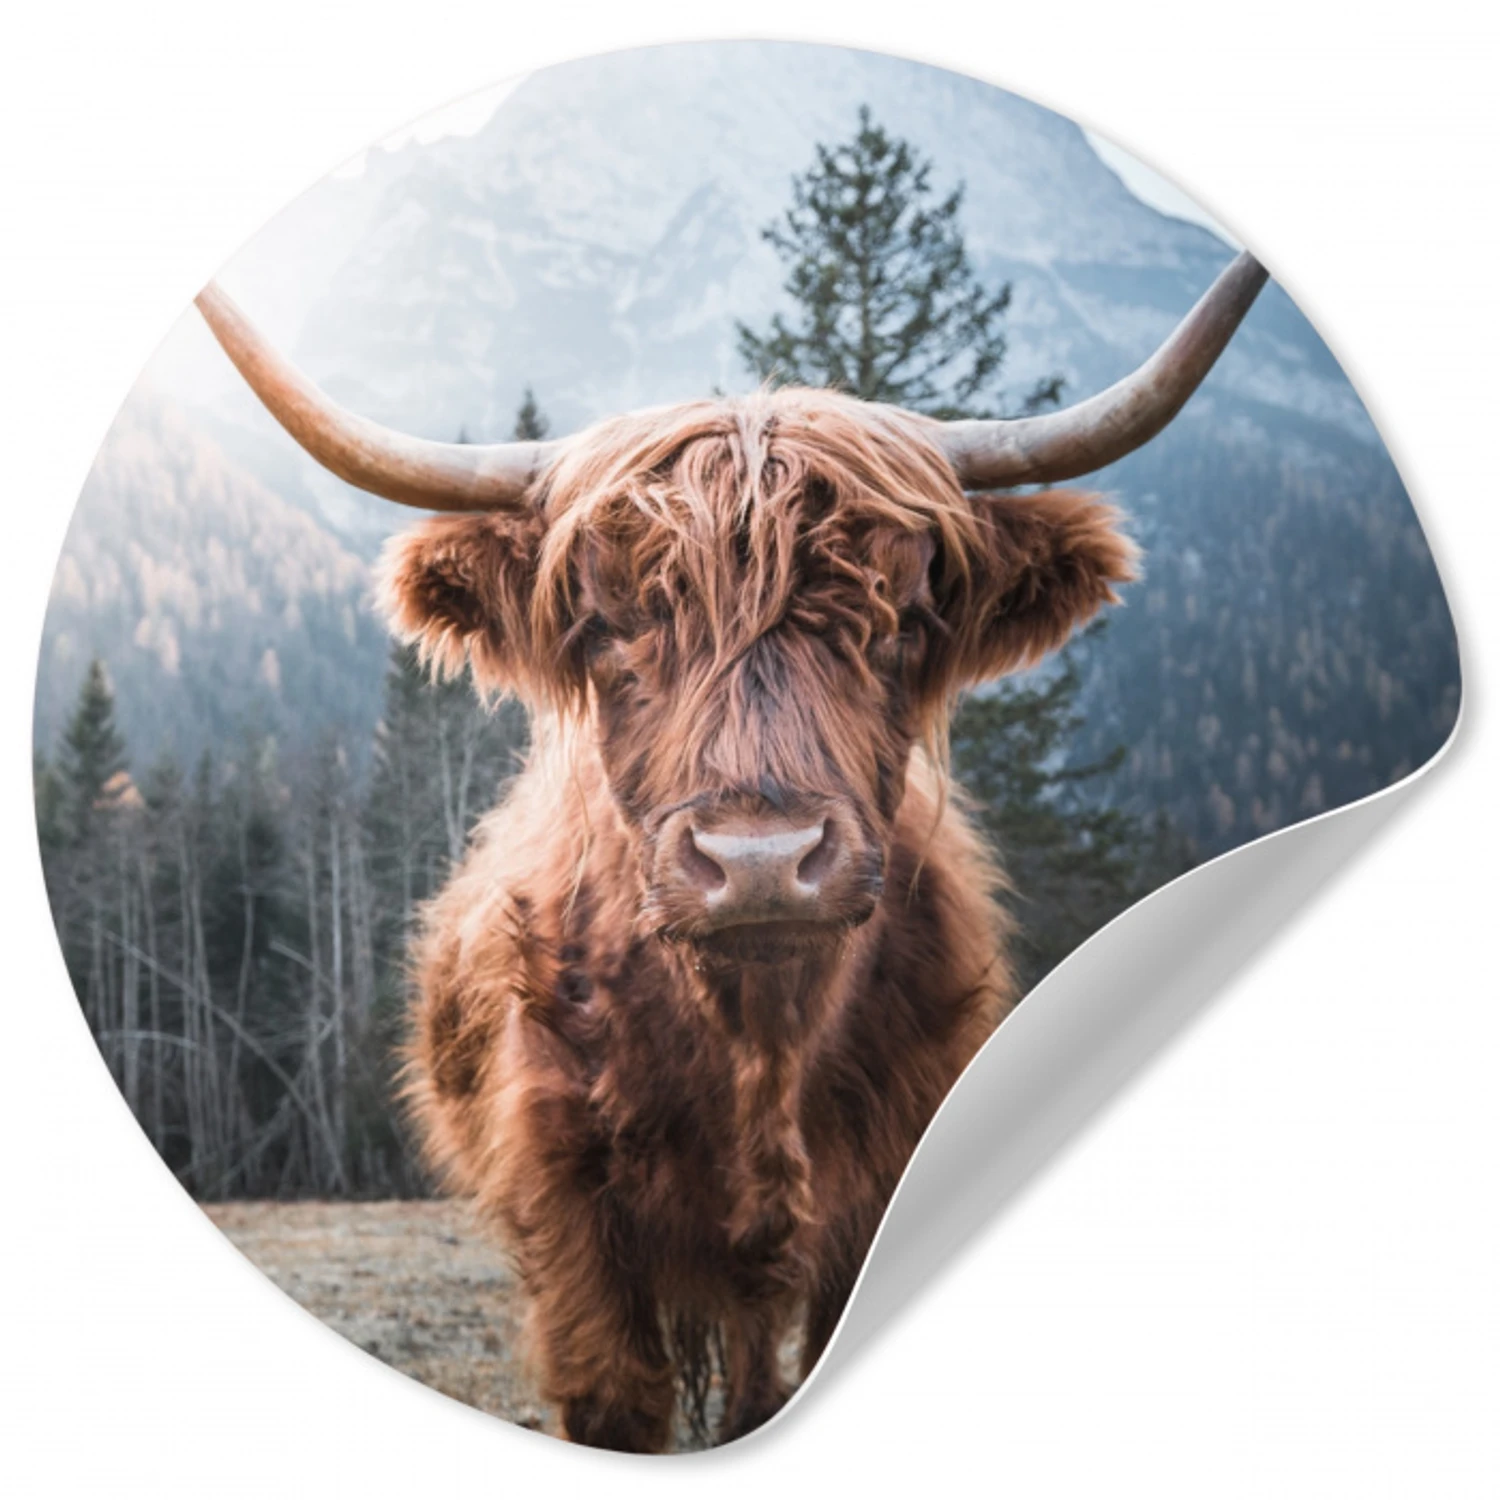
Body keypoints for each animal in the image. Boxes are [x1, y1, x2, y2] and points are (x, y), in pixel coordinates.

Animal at [196, 251, 1266, 1450]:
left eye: (902, 618)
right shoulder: (571, 1219)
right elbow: (617, 1402)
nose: (761, 859)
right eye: (607, 625)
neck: (758, 1042)